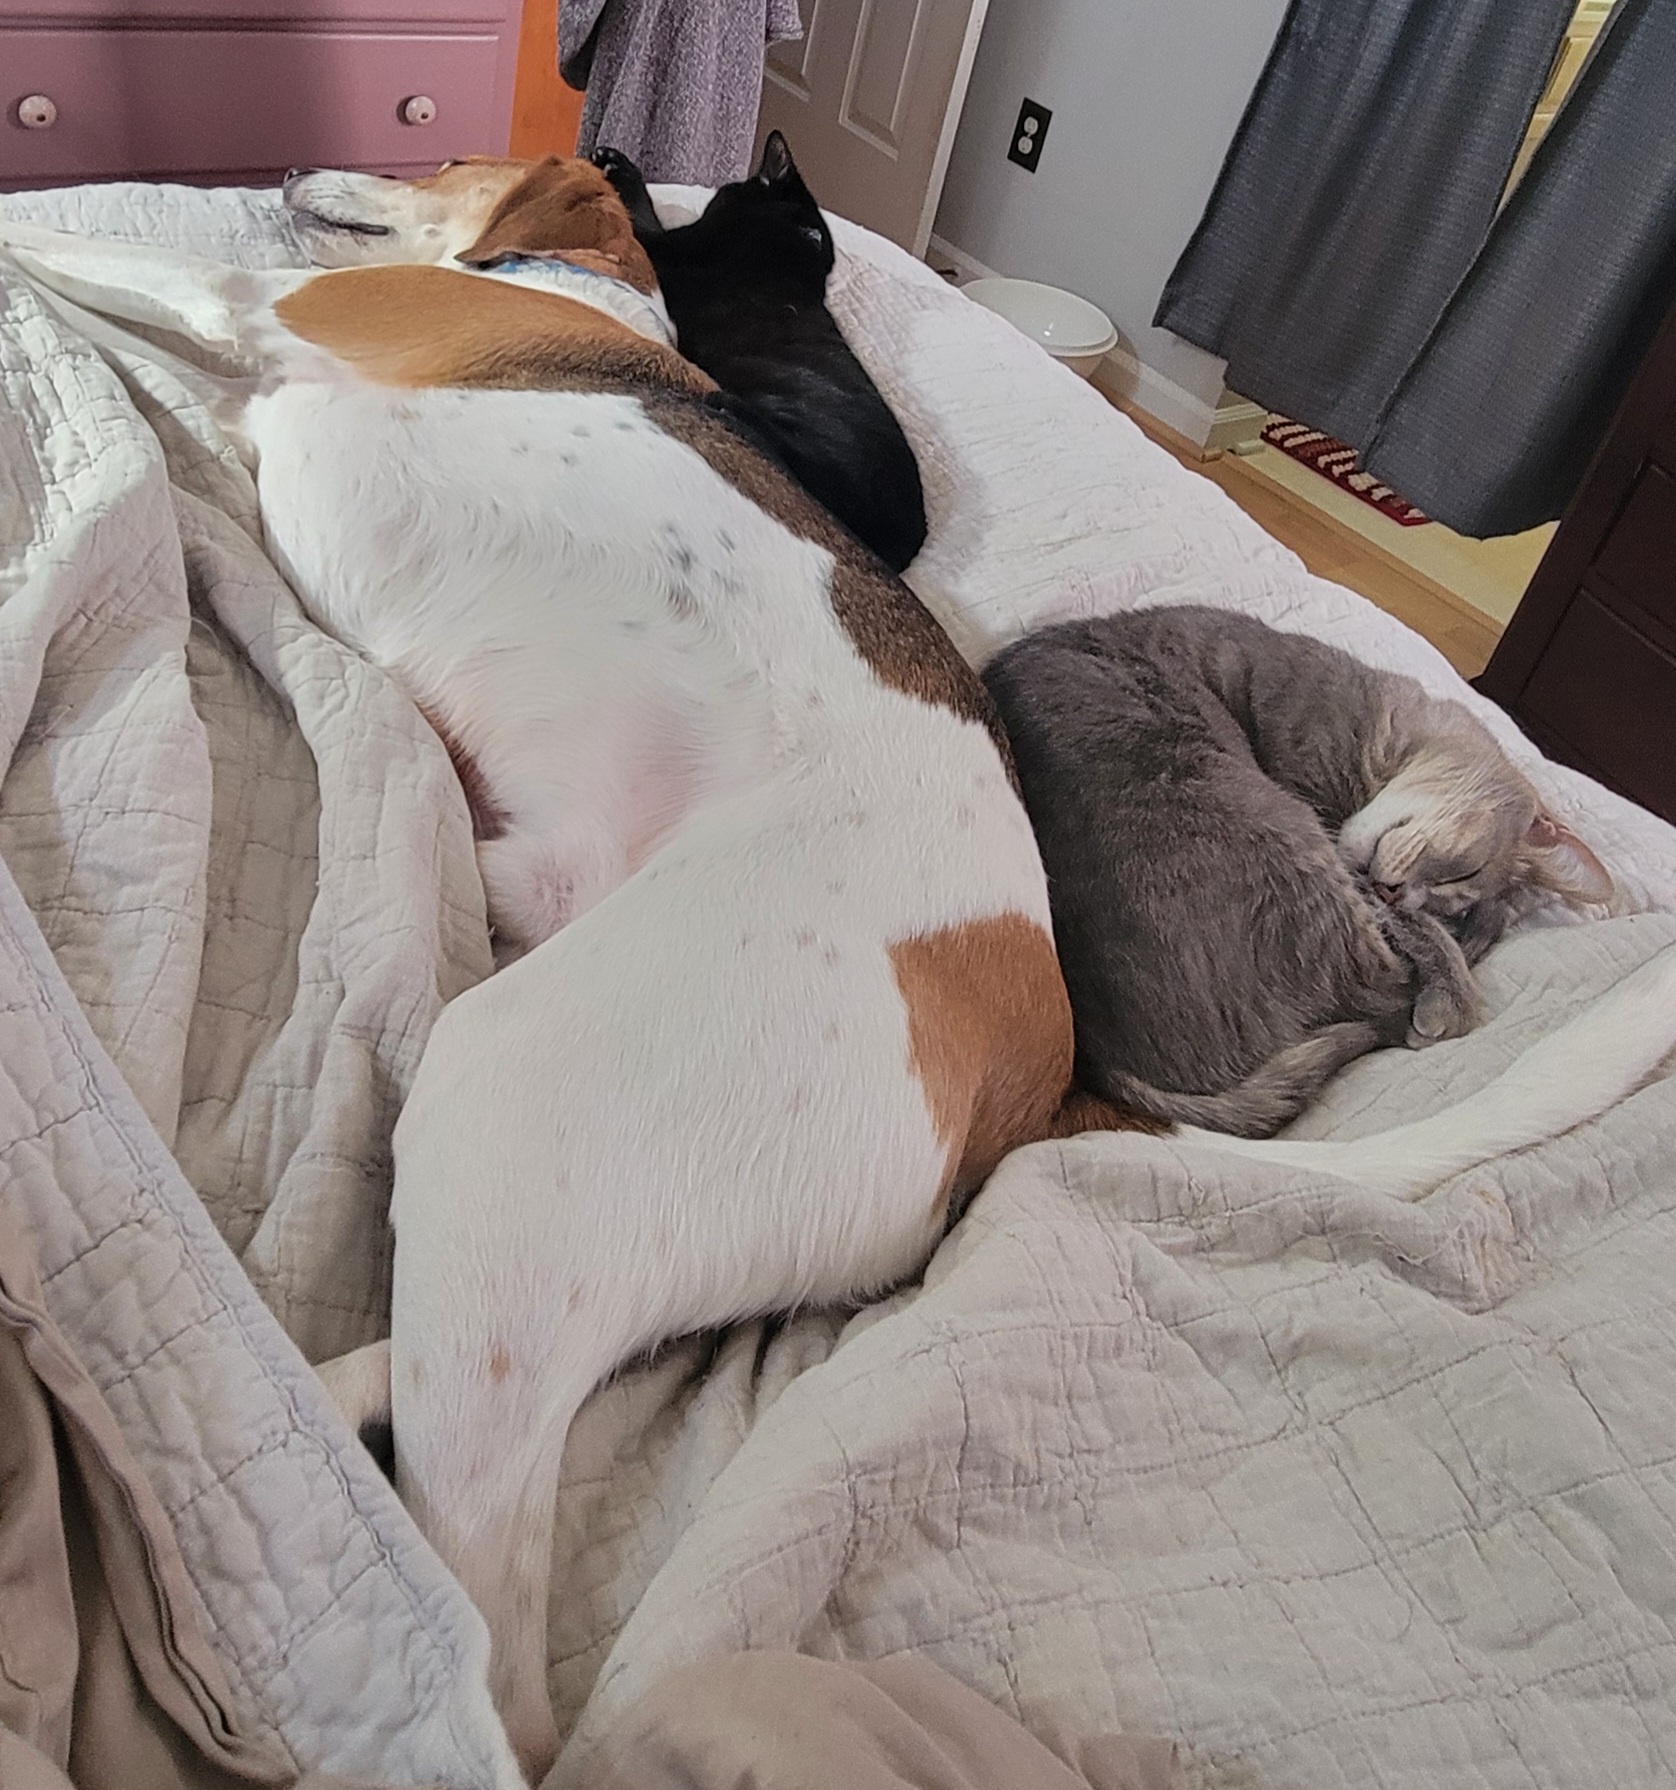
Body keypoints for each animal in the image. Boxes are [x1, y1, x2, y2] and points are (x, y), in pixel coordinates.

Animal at [590, 136, 931, 576]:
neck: (802, 237)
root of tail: (904, 544)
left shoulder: (670, 247)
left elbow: (642, 211)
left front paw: (618, 165)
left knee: (783, 462)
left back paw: (722, 405)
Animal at [981, 601, 1611, 1131]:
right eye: (1462, 874)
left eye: (1451, 892)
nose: (1397, 892)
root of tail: (1102, 1060)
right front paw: (1452, 985)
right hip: (1285, 833)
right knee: (1384, 991)